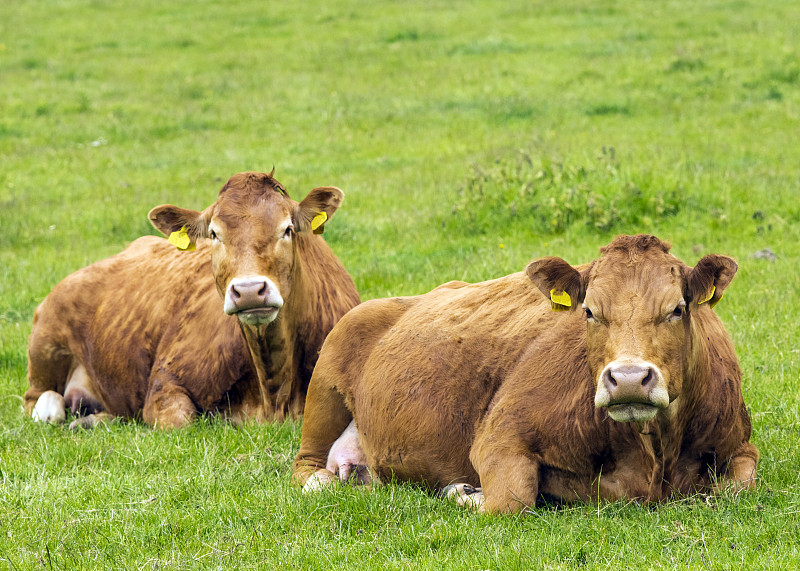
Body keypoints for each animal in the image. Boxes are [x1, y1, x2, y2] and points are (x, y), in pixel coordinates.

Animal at [25, 170, 360, 428]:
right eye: (213, 234)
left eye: (287, 229)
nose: (249, 290)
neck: (274, 394)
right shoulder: (164, 383)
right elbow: (181, 421)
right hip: (46, 343)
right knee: (37, 400)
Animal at [294, 235, 756, 516]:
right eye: (590, 311)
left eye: (677, 309)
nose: (627, 378)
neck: (654, 453)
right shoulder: (500, 436)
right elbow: (510, 501)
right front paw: (462, 491)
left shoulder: (740, 443)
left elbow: (738, 487)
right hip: (324, 385)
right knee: (308, 470)